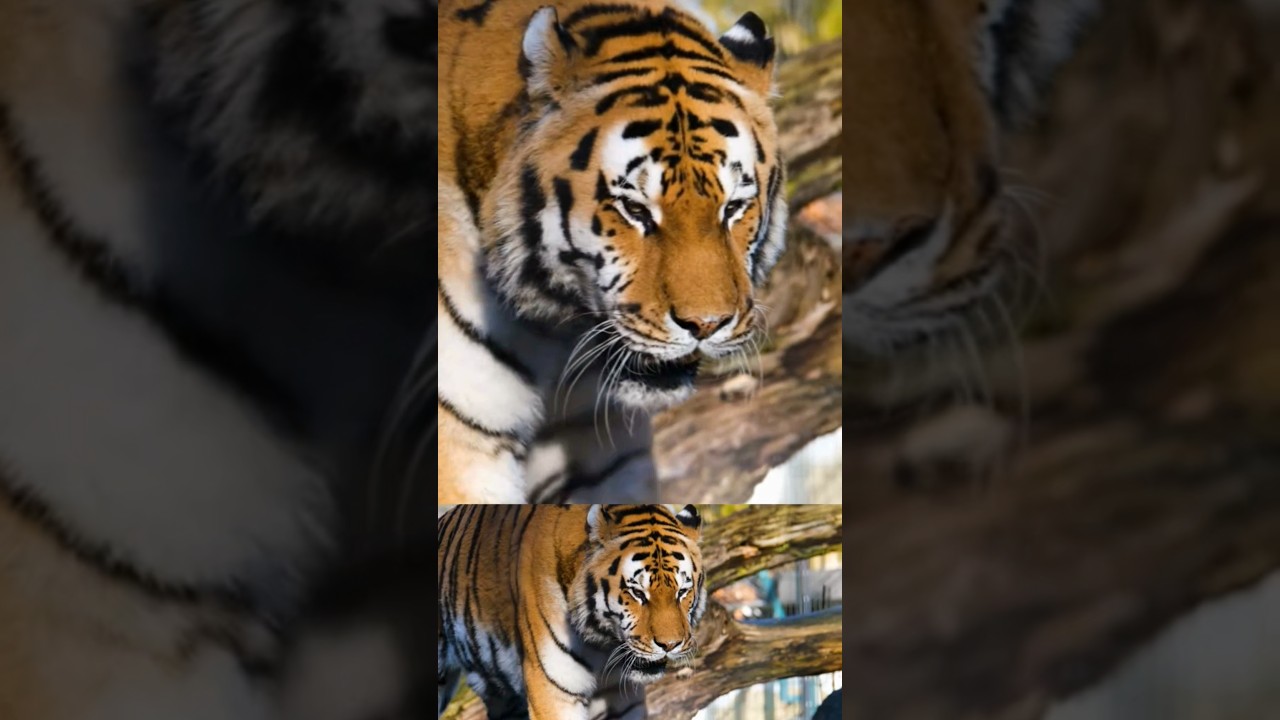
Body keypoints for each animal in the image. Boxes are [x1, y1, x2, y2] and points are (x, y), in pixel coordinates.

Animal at [436, 0, 789, 504]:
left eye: (733, 207)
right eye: (635, 209)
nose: (706, 325)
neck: (558, 331)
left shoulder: (599, 450)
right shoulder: (458, 436)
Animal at [436, 504, 706, 720]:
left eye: (682, 591)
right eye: (637, 593)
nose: (670, 645)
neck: (603, 645)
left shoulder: (622, 700)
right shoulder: (554, 693)